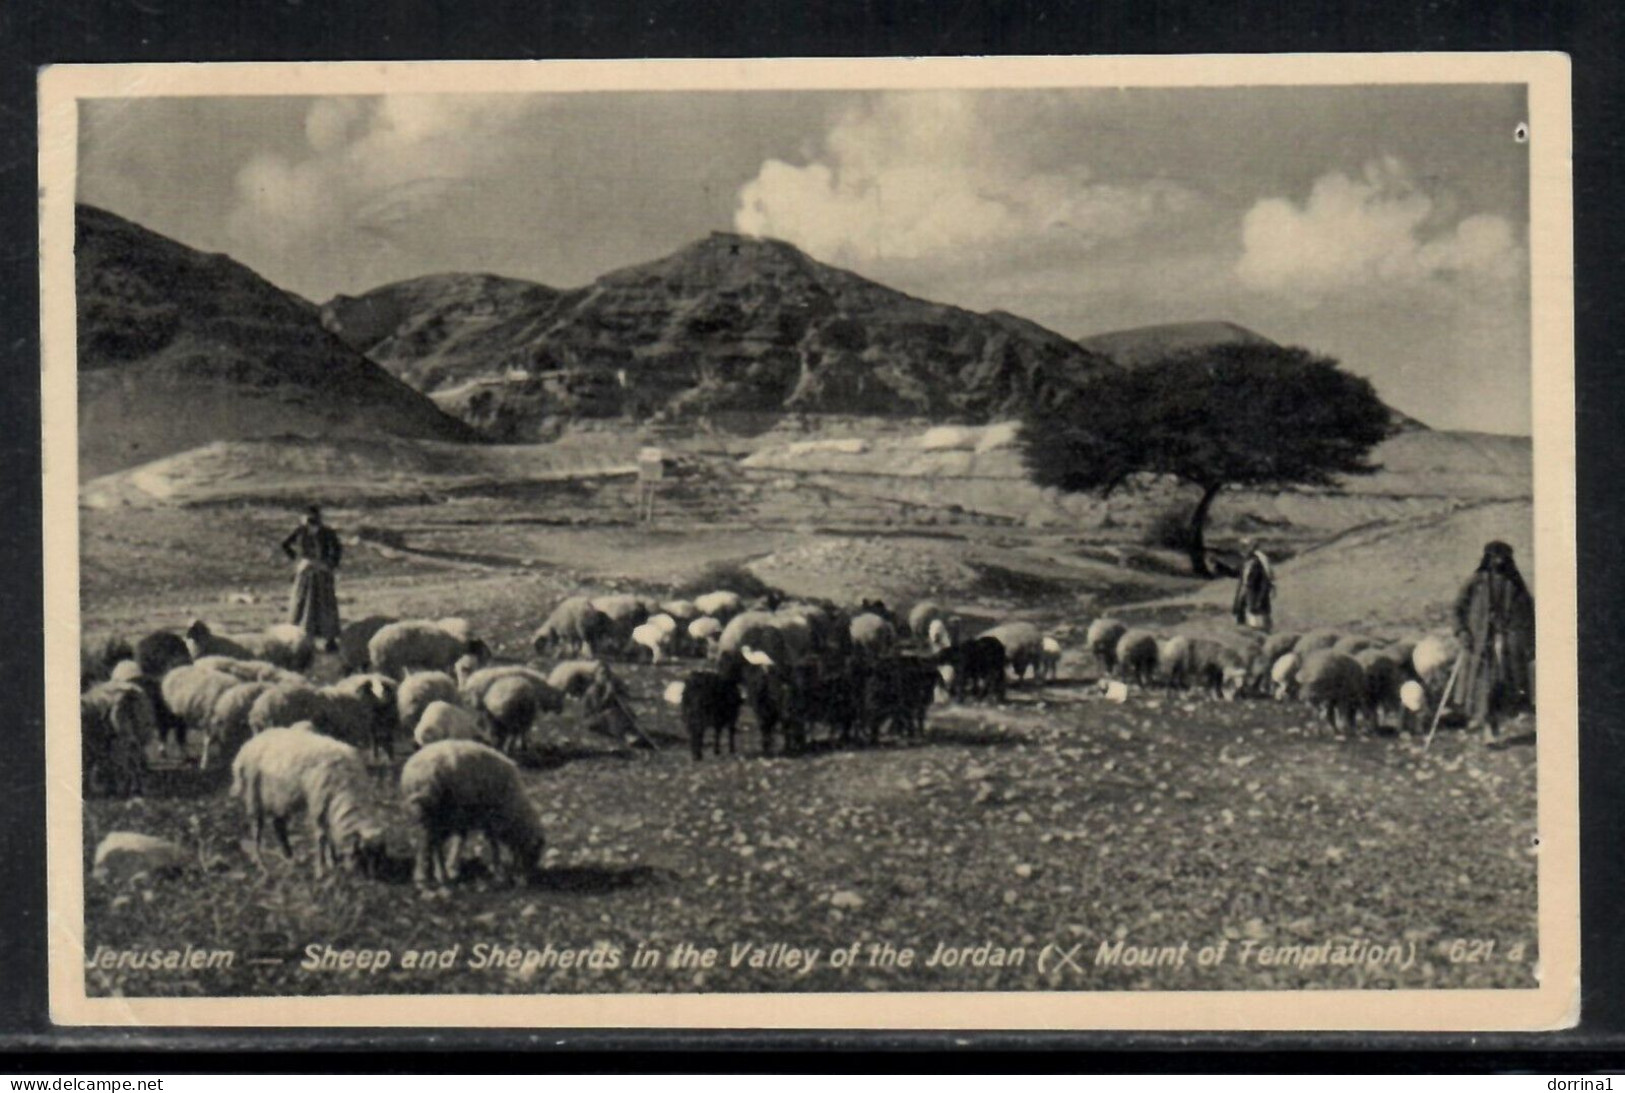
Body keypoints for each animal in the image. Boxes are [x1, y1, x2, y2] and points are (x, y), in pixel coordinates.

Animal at [230, 724, 385, 876]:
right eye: (363, 854)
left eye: (378, 856)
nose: (372, 878)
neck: (346, 785)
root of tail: (246, 747)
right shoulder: (319, 803)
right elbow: (322, 836)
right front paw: (322, 869)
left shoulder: (327, 805)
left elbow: (329, 834)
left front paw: (333, 861)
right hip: (254, 796)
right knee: (257, 830)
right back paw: (262, 864)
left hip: (280, 797)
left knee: (278, 825)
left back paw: (290, 857)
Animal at [398, 737, 546, 883]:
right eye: (534, 852)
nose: (528, 879)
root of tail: (411, 773)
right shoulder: (490, 818)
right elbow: (493, 843)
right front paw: (499, 872)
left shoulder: (462, 817)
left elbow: (460, 839)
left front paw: (452, 866)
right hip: (431, 811)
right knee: (426, 841)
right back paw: (426, 876)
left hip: (435, 815)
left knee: (432, 842)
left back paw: (438, 873)